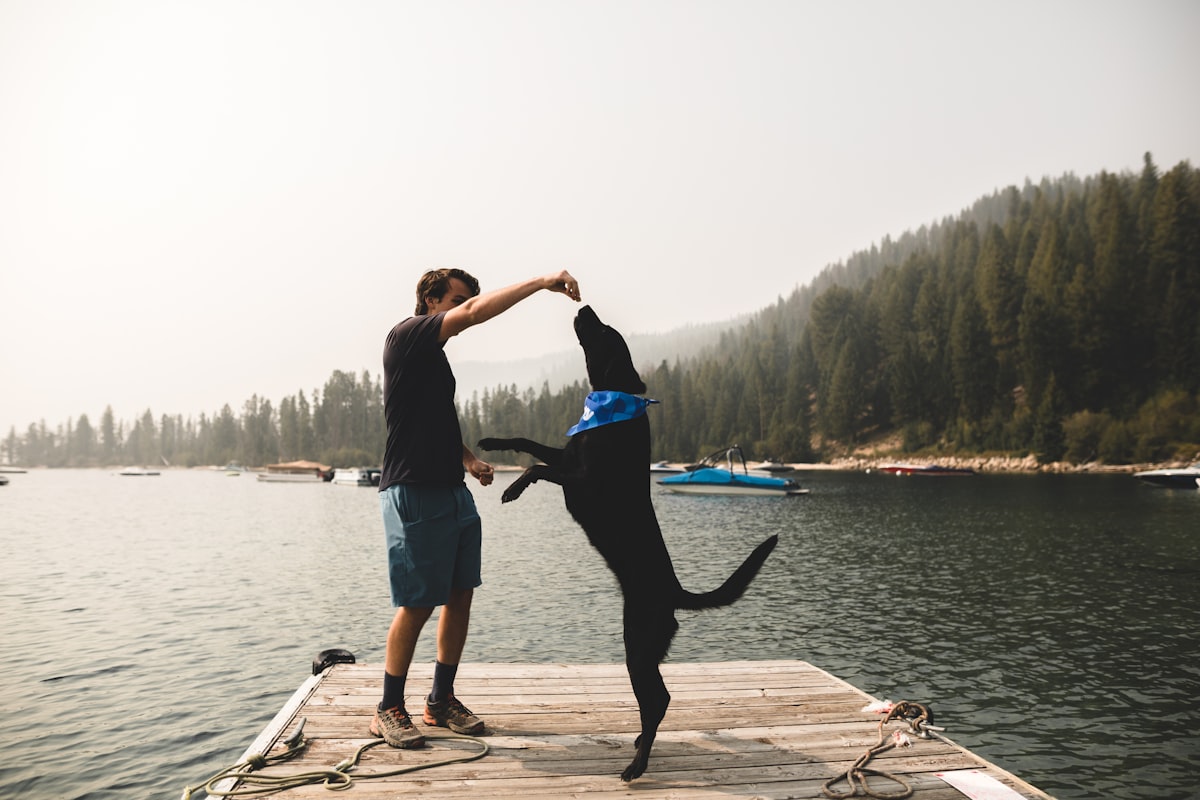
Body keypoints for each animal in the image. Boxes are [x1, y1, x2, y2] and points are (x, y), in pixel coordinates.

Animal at [477, 303, 777, 777]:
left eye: (604, 331)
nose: (583, 306)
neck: (612, 402)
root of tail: (674, 591)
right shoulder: (566, 455)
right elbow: (526, 442)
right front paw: (492, 440)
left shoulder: (581, 479)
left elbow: (537, 468)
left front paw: (513, 488)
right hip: (645, 648)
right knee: (658, 700)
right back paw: (639, 746)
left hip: (637, 644)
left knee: (658, 701)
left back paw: (638, 763)